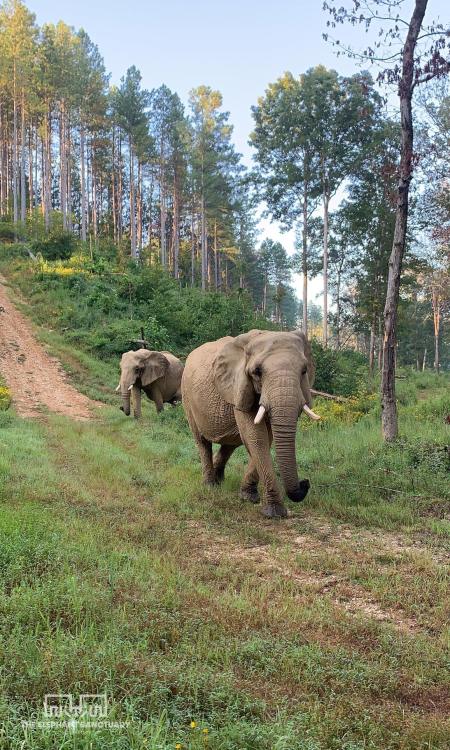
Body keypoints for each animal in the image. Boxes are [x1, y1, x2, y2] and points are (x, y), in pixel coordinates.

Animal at [181, 332, 322, 520]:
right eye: (257, 372)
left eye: (304, 370)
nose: (305, 483)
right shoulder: (240, 388)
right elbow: (256, 438)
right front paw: (274, 513)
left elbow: (265, 439)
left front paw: (248, 497)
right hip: (187, 398)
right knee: (202, 442)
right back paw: (210, 486)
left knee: (229, 445)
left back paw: (220, 481)